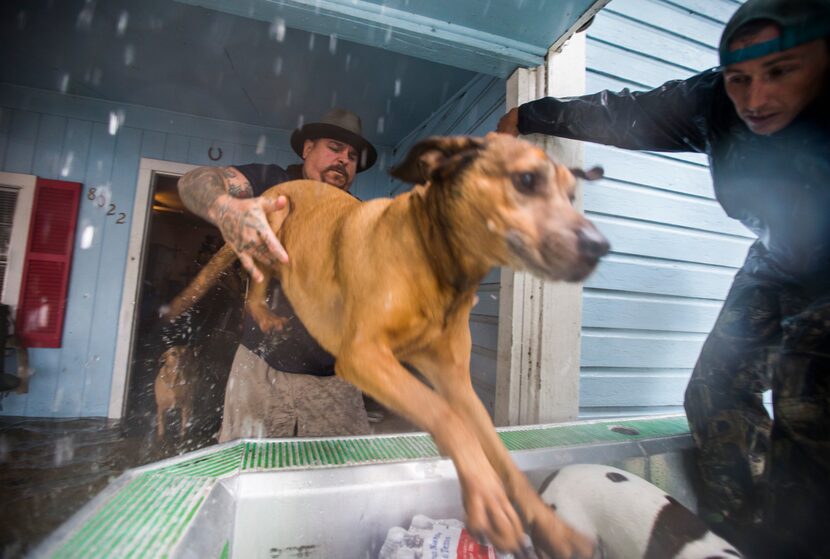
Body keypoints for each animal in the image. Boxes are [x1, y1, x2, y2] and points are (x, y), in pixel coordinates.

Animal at [167, 133, 612, 556]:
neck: (437, 262)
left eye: (572, 195)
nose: (599, 247)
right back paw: (265, 315)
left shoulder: (456, 381)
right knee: (257, 278)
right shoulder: (363, 357)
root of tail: (275, 186)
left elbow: (497, 451)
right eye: (526, 180)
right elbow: (446, 417)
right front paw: (489, 501)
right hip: (270, 218)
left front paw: (550, 526)